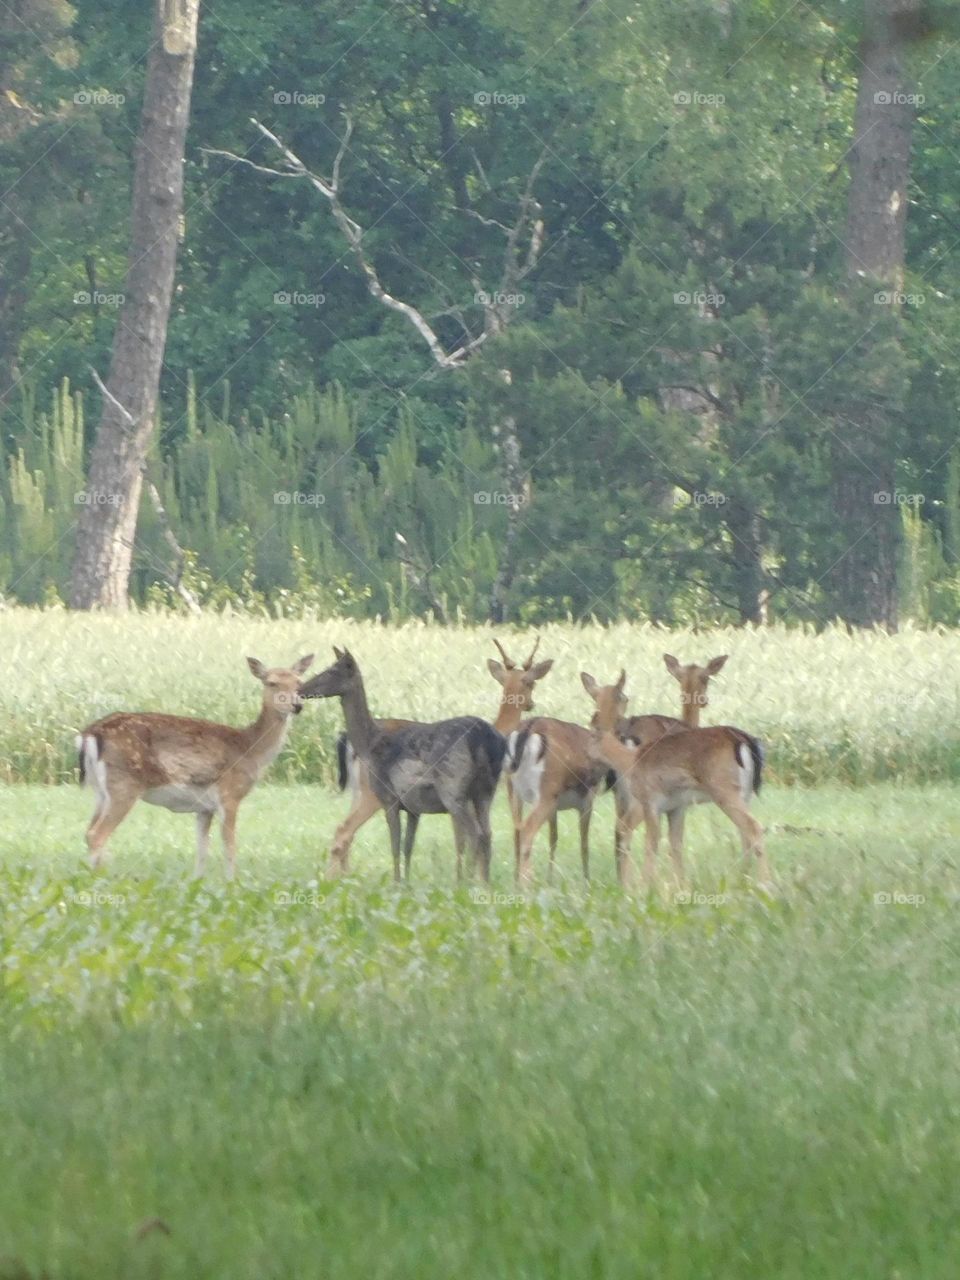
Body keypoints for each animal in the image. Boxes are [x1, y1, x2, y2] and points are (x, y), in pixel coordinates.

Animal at [76, 654, 314, 877]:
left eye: (299, 682)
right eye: (271, 682)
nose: (297, 705)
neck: (250, 749)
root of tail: (90, 734)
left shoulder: (204, 807)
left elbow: (202, 850)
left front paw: (197, 881)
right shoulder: (230, 795)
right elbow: (229, 846)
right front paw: (232, 883)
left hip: (100, 791)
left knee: (88, 831)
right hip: (124, 785)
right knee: (97, 834)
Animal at [300, 648, 507, 882]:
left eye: (333, 671)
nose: (301, 688)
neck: (369, 744)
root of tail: (485, 741)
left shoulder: (389, 798)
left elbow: (395, 845)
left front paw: (396, 882)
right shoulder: (413, 808)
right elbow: (408, 846)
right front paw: (407, 882)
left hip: (453, 790)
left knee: (476, 834)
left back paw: (469, 882)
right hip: (485, 791)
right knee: (487, 834)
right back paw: (485, 883)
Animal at [325, 637, 552, 877]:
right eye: (531, 683)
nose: (530, 704)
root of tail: (349, 743)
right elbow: (464, 842)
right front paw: (465, 877)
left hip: (358, 793)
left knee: (345, 833)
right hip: (372, 794)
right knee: (343, 831)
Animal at [584, 668, 769, 887]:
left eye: (625, 697)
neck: (630, 758)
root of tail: (744, 741)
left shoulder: (651, 803)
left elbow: (652, 844)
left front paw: (648, 886)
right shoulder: (674, 807)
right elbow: (674, 844)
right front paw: (677, 887)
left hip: (725, 792)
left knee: (753, 828)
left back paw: (765, 884)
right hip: (744, 795)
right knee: (745, 834)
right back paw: (744, 879)